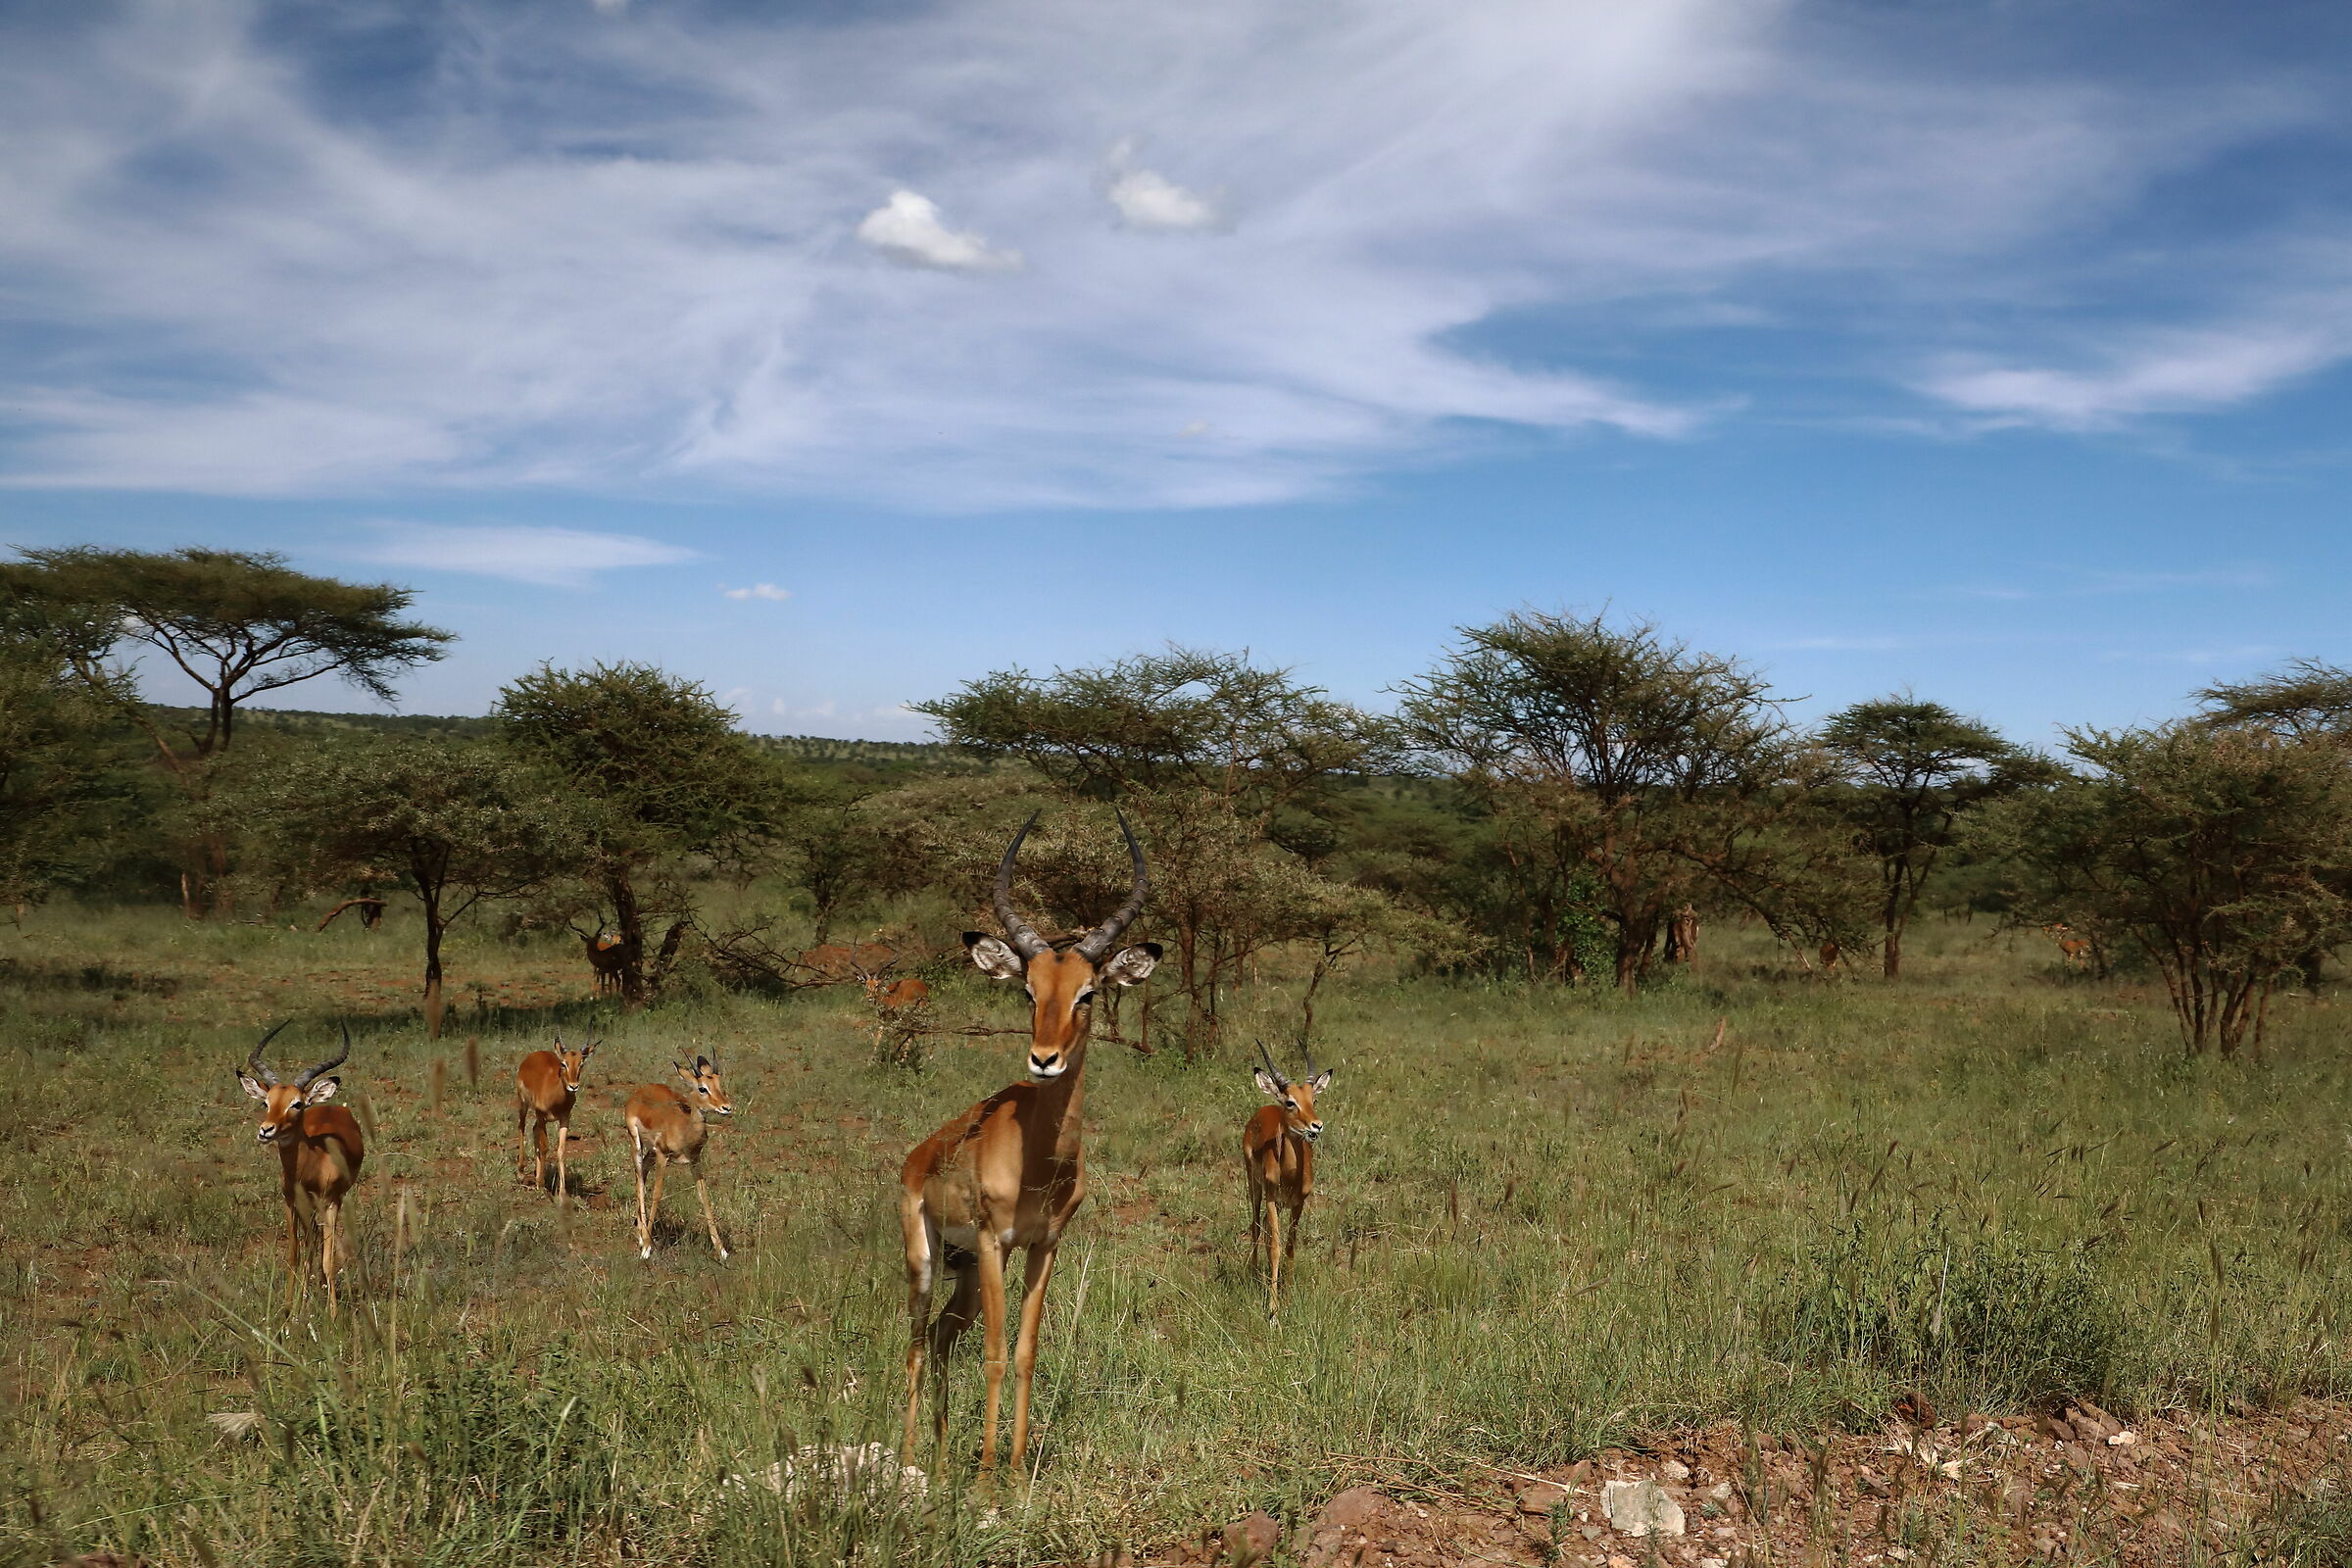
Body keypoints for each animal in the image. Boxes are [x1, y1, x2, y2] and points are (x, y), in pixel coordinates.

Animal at [234, 1022, 364, 1316]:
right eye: (266, 1102)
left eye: (297, 1103)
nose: (266, 1130)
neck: (313, 1164)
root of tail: (333, 1107)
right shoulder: (291, 1204)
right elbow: (294, 1255)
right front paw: (289, 1310)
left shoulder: (330, 1204)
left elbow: (328, 1260)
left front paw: (332, 1315)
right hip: (308, 1210)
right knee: (311, 1242)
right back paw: (304, 1299)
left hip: (329, 1205)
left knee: (319, 1244)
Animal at [515, 1032, 593, 1206]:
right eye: (563, 1064)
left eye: (582, 1064)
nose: (573, 1086)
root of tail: (534, 1055)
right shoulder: (541, 1115)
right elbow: (544, 1146)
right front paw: (542, 1185)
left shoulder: (565, 1119)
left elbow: (561, 1150)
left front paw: (562, 1193)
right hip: (524, 1105)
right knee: (521, 1127)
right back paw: (522, 1173)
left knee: (533, 1130)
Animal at [623, 1052, 735, 1261]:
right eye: (702, 1088)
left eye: (718, 1083)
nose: (726, 1107)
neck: (684, 1129)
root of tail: (640, 1092)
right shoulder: (663, 1155)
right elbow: (657, 1194)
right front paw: (647, 1249)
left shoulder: (695, 1160)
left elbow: (704, 1196)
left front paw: (722, 1250)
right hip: (637, 1144)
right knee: (639, 1180)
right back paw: (642, 1238)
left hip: (650, 1152)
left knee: (642, 1172)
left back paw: (640, 1233)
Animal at [899, 813, 1159, 1473]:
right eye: (1028, 990)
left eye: (1088, 992)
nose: (1044, 1060)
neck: (1037, 1162)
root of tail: (917, 1157)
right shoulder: (997, 1242)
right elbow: (993, 1355)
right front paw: (990, 1479)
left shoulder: (1044, 1246)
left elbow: (1023, 1352)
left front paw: (1015, 1472)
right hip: (927, 1259)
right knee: (915, 1342)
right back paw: (908, 1459)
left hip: (964, 1272)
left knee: (940, 1336)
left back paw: (942, 1459)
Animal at [1244, 1042, 1334, 1320]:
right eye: (1291, 1102)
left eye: (1313, 1099)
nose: (1317, 1126)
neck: (1290, 1174)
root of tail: (1265, 1108)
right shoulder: (1273, 1198)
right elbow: (1275, 1247)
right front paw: (1273, 1309)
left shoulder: (1298, 1203)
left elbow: (1290, 1246)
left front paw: (1287, 1295)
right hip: (1254, 1186)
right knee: (1255, 1225)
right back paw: (1254, 1275)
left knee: (1263, 1227)